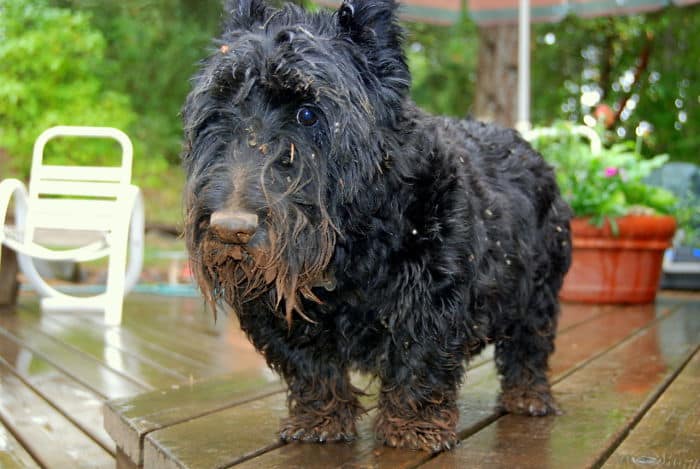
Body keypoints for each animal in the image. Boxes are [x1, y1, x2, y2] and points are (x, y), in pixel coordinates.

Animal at [183, 0, 572, 454]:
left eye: (308, 112)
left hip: (536, 293)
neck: (351, 243)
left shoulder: (432, 297)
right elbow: (311, 368)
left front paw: (413, 426)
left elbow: (419, 359)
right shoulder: (282, 311)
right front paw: (321, 419)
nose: (231, 229)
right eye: (221, 107)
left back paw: (528, 396)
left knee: (529, 346)